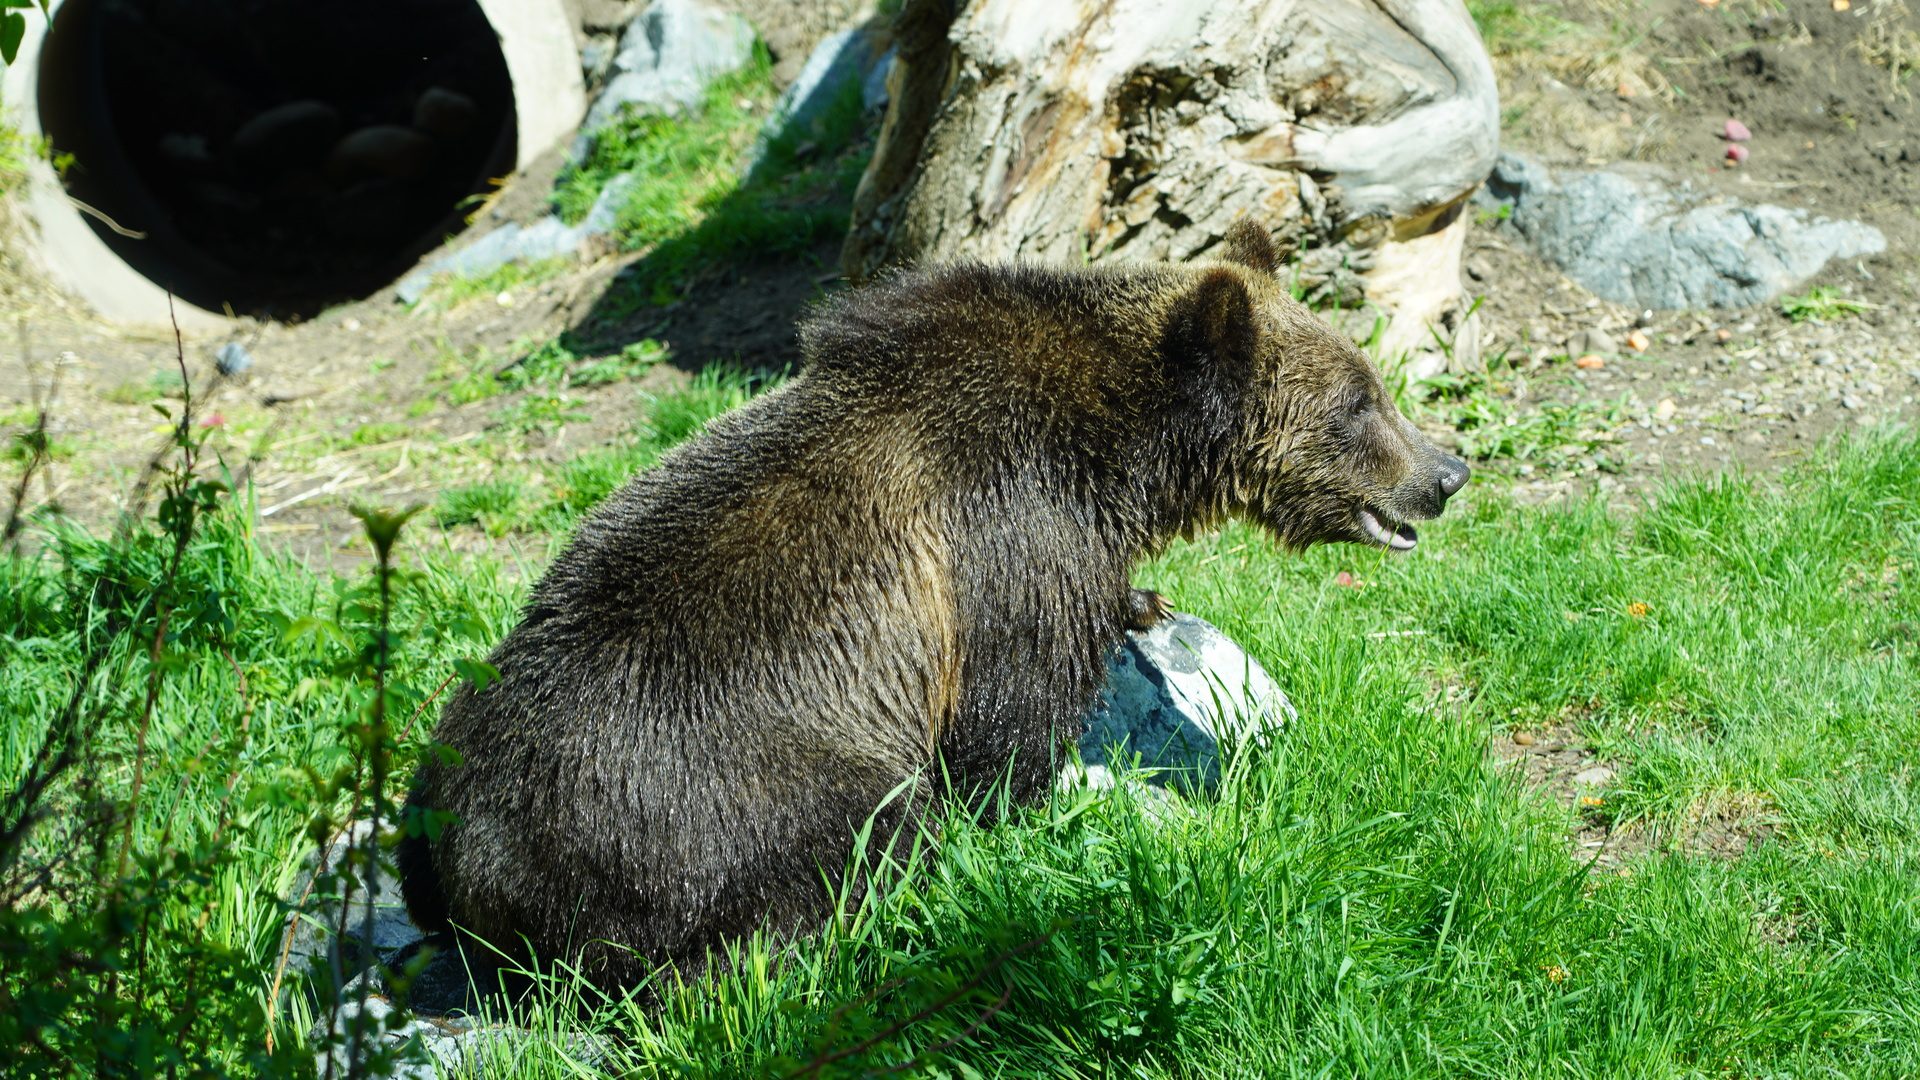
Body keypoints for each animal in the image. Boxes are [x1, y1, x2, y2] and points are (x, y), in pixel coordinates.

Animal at [396, 221, 1469, 991]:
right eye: (1360, 403)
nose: (1448, 473)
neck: (1119, 452)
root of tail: (480, 868)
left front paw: (1143, 599)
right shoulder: (1000, 533)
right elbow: (1007, 718)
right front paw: (1057, 799)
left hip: (453, 740)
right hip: (712, 803)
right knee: (849, 846)